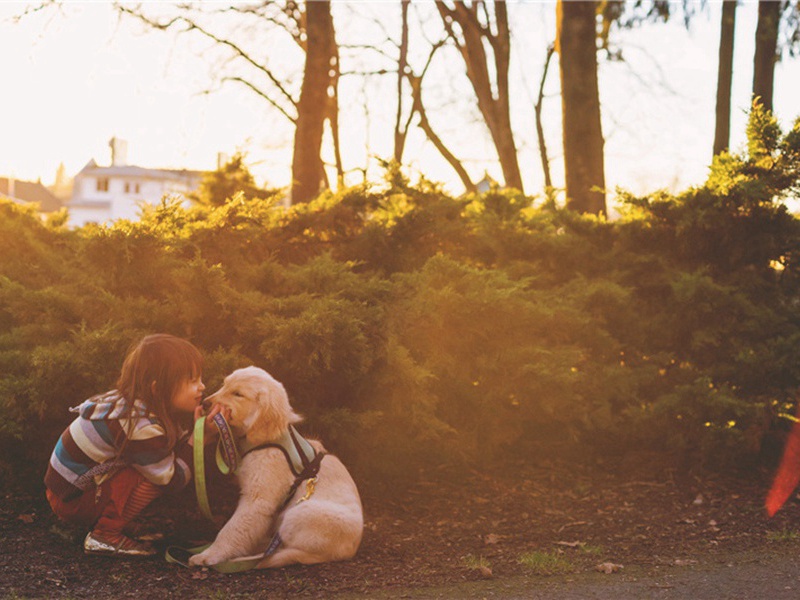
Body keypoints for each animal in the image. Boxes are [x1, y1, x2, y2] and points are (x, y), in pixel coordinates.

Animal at [189, 366, 364, 568]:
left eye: (238, 394)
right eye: (224, 384)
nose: (204, 403)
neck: (267, 439)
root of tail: (348, 552)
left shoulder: (257, 500)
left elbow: (232, 529)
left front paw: (209, 555)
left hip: (298, 513)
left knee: (290, 550)